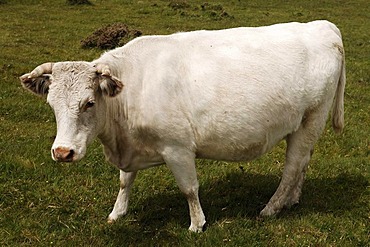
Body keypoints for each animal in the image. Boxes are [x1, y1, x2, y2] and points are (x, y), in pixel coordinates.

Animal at [20, 20, 344, 232]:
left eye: (88, 102)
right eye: (51, 104)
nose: (63, 152)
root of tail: (323, 25)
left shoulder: (177, 148)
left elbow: (189, 188)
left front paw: (197, 224)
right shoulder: (130, 145)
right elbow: (125, 181)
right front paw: (117, 213)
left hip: (312, 118)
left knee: (292, 167)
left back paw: (271, 208)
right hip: (303, 126)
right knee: (303, 162)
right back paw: (292, 200)